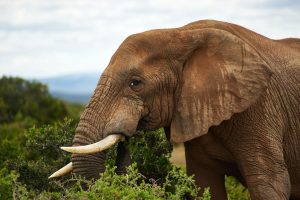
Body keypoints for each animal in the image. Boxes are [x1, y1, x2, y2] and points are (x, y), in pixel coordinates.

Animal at [49, 19, 300, 199]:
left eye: (135, 83)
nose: (127, 138)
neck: (183, 33)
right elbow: (205, 183)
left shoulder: (260, 107)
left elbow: (269, 184)